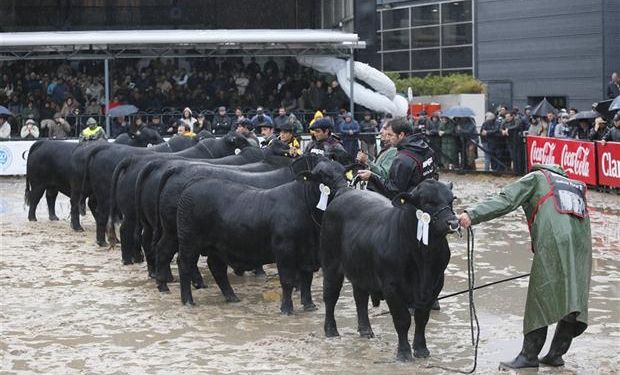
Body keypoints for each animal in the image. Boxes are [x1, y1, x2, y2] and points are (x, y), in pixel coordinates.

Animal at [174, 157, 344, 312]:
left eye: (343, 171)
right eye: (325, 176)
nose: (344, 186)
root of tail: (195, 183)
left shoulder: (308, 252)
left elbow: (306, 279)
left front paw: (309, 305)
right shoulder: (284, 250)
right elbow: (287, 280)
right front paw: (286, 308)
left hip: (216, 247)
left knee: (217, 268)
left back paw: (232, 297)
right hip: (189, 241)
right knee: (185, 264)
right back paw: (188, 301)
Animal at [318, 178, 458, 362]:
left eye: (451, 200)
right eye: (428, 202)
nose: (453, 223)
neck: (422, 259)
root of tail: (346, 192)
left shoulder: (434, 285)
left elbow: (422, 318)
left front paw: (421, 350)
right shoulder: (392, 287)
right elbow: (402, 320)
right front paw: (404, 352)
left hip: (360, 270)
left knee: (360, 299)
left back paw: (365, 330)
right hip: (330, 264)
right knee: (330, 296)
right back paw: (331, 330)